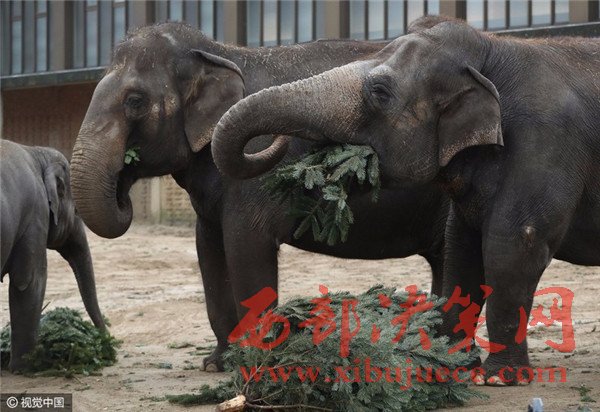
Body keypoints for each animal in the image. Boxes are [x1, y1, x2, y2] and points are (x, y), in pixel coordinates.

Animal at [1, 139, 106, 372]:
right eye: (77, 212)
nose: (108, 341)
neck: (36, 152)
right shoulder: (35, 216)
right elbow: (29, 281)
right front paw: (27, 367)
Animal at [69, 22, 450, 372]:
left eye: (135, 101)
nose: (123, 186)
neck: (220, 52)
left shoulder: (253, 184)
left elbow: (246, 251)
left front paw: (256, 364)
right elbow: (209, 251)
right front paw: (216, 364)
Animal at [210, 16, 600, 385]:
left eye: (380, 91)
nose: (277, 141)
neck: (493, 50)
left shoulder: (547, 142)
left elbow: (513, 246)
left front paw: (499, 378)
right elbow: (461, 248)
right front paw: (447, 366)